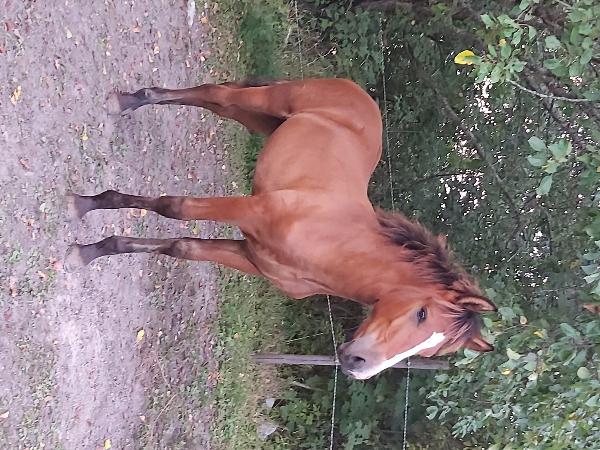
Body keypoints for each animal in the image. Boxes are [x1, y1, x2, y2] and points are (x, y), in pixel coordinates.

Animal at [66, 78, 496, 380]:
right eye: (421, 314)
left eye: (429, 353)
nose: (359, 363)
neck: (332, 243)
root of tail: (358, 91)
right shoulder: (250, 210)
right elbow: (174, 207)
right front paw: (87, 207)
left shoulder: (251, 256)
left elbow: (180, 247)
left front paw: (96, 248)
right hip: (267, 102)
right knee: (216, 92)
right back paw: (128, 101)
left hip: (258, 119)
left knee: (214, 100)